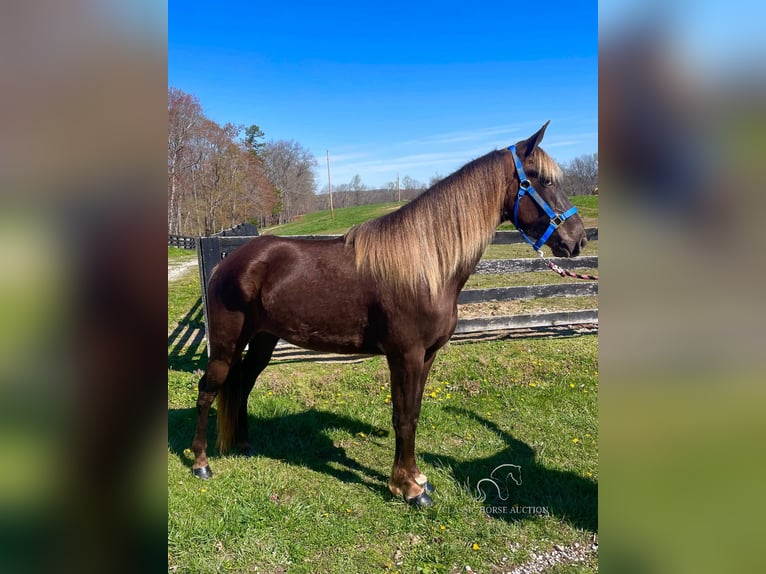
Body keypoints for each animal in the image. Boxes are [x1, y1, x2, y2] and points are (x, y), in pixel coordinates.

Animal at [190, 121, 588, 508]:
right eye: (545, 181)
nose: (577, 240)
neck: (426, 266)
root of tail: (230, 261)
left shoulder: (427, 356)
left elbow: (413, 412)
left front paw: (414, 479)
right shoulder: (405, 355)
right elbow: (403, 417)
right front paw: (408, 488)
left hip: (262, 340)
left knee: (242, 384)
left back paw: (244, 446)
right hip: (227, 344)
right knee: (208, 389)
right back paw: (201, 463)